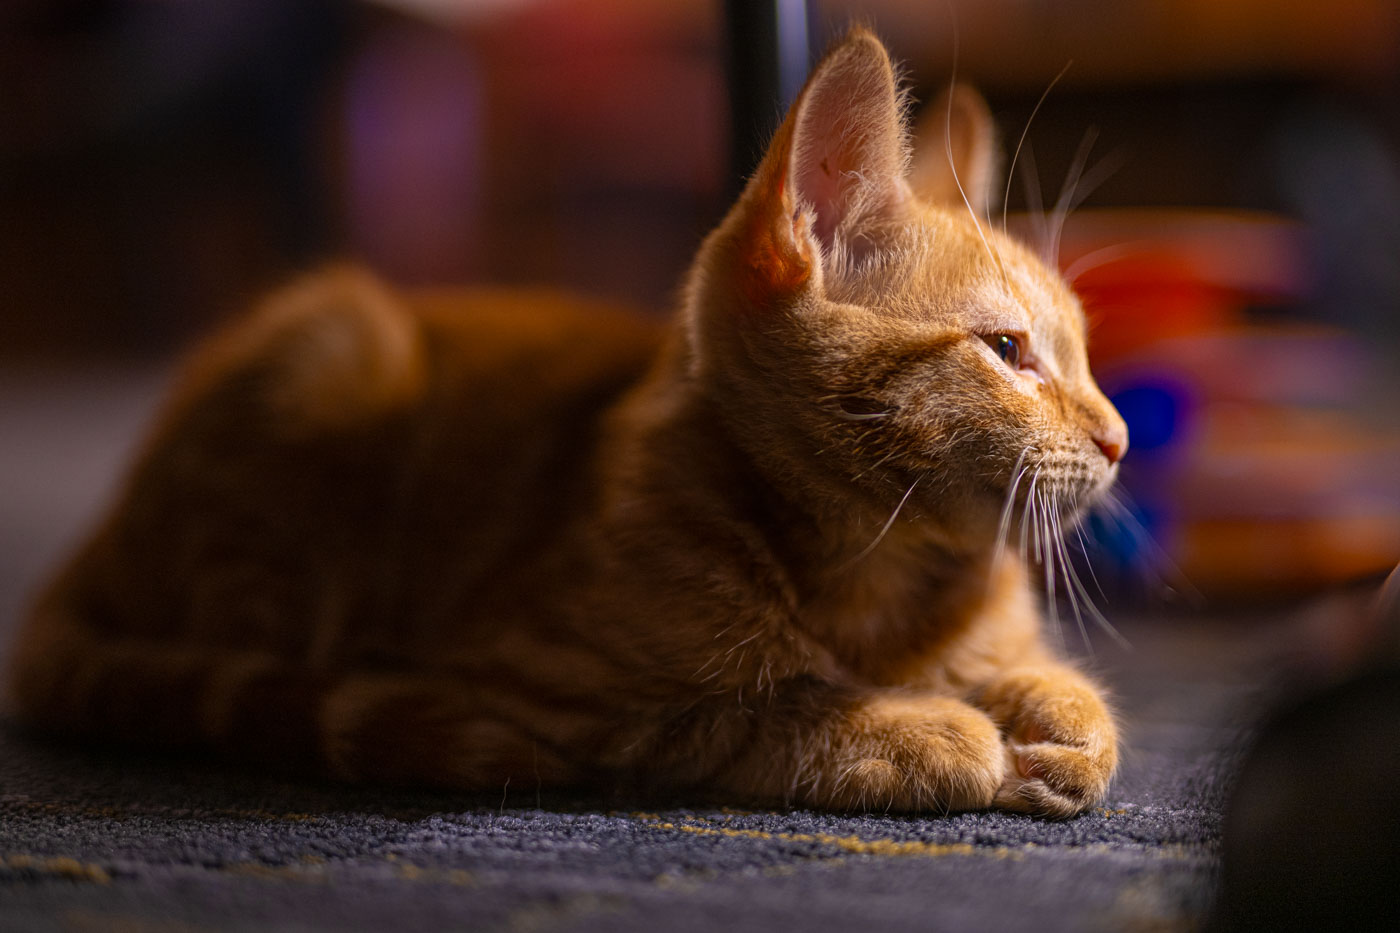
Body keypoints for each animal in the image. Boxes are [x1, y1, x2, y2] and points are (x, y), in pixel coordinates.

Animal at [8, 29, 1125, 812]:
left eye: (1079, 350)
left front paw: (1057, 715)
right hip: (333, 355)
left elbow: (1063, 694)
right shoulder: (560, 699)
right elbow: (755, 708)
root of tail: (88, 553)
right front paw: (918, 729)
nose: (1117, 438)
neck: (887, 585)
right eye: (1009, 350)